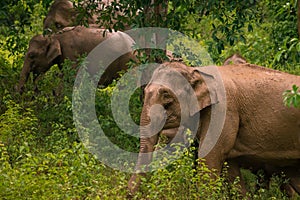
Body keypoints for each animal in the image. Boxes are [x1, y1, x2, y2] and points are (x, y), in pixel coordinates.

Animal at [127, 61, 300, 196]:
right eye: (144, 92)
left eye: (166, 95)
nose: (127, 194)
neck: (196, 71)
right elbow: (230, 167)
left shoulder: (224, 110)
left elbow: (209, 155)